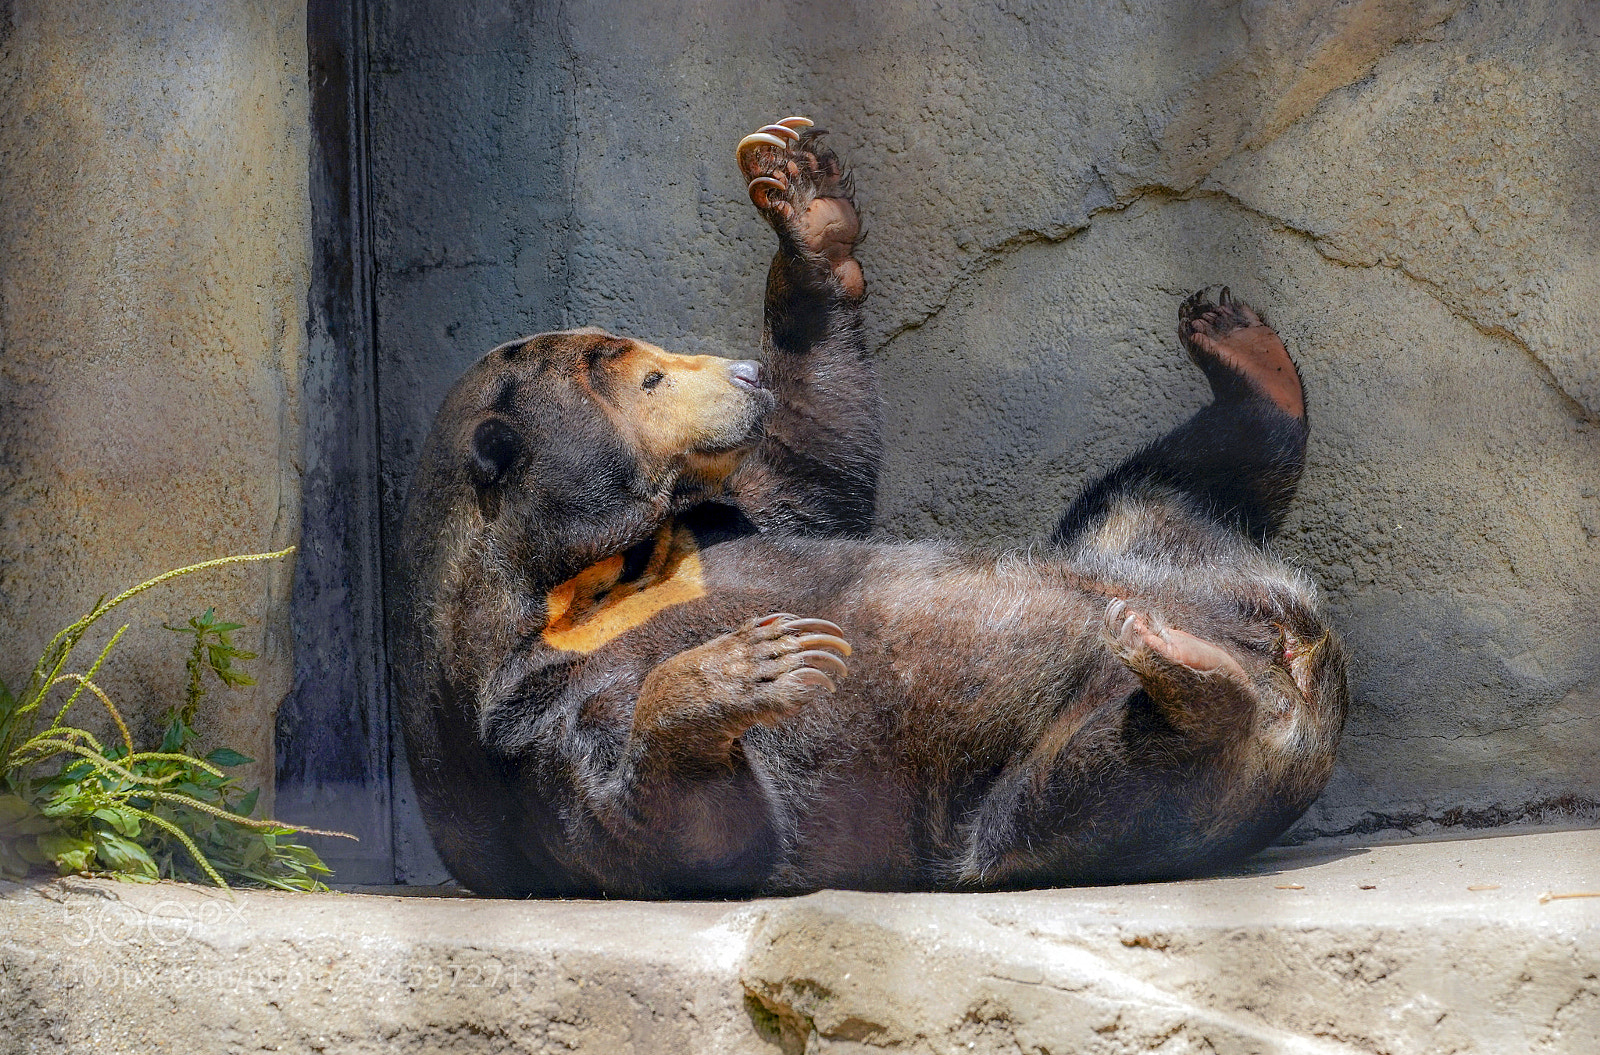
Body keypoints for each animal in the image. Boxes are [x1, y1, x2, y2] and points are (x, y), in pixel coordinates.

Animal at [392, 116, 1348, 898]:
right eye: (650, 376)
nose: (746, 375)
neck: (581, 579)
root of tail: (1300, 670)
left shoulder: (708, 528)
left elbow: (811, 475)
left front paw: (804, 194)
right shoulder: (518, 716)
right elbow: (668, 828)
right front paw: (752, 661)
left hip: (1144, 539)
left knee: (1169, 478)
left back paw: (1240, 347)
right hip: (1038, 783)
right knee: (1110, 774)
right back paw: (1184, 666)